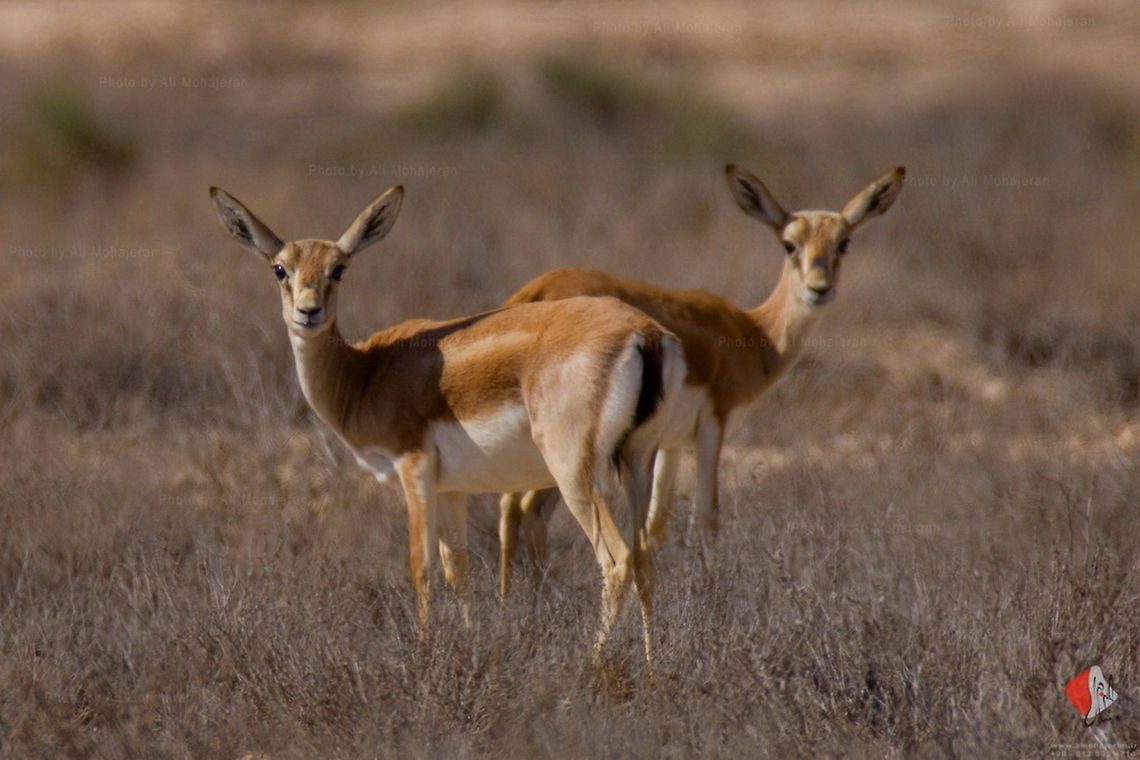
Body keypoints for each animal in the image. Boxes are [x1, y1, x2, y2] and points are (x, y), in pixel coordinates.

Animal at [209, 185, 686, 661]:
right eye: (280, 269)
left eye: (339, 269)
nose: (308, 312)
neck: (365, 374)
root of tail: (645, 334)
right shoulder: (452, 488)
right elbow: (458, 568)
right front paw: (469, 646)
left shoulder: (413, 468)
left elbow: (420, 565)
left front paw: (423, 653)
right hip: (638, 461)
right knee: (645, 557)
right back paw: (651, 664)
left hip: (573, 472)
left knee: (617, 559)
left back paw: (592, 664)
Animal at [498, 164, 905, 595]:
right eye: (788, 244)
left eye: (844, 242)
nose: (819, 289)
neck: (753, 333)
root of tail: (537, 291)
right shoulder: (713, 425)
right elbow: (707, 516)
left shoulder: (670, 444)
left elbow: (657, 524)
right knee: (530, 509)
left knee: (510, 507)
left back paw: (513, 599)